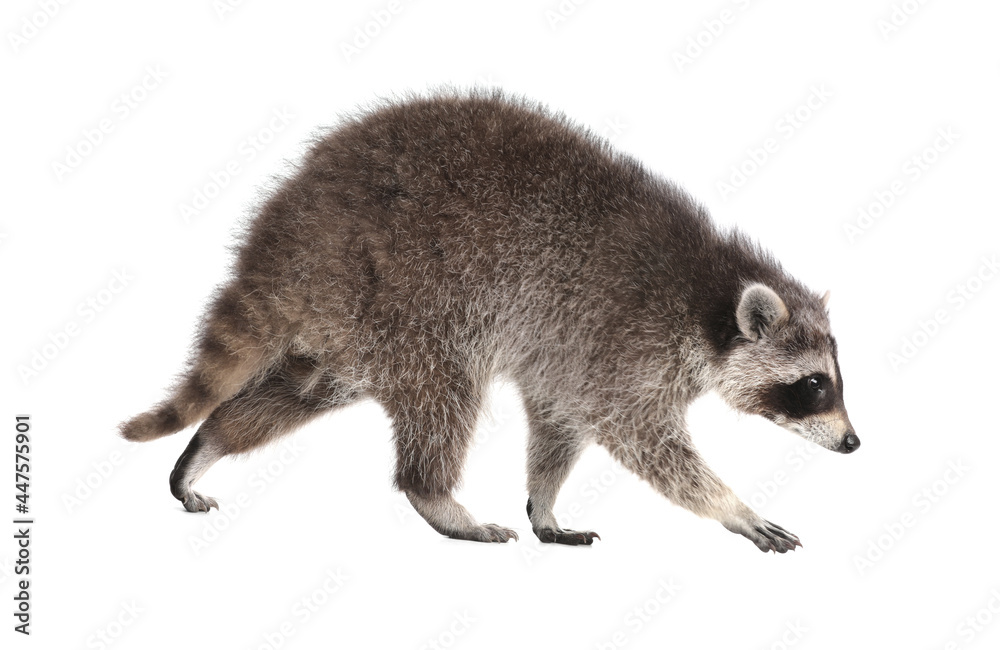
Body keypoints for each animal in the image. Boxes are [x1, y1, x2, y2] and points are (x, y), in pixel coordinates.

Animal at [120, 89, 857, 553]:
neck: (709, 295)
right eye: (814, 384)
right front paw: (733, 506)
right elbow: (643, 441)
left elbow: (559, 426)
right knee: (444, 394)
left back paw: (213, 440)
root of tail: (294, 222)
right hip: (412, 294)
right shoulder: (625, 343)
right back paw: (437, 498)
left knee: (304, 390)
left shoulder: (571, 360)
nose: (853, 444)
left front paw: (545, 502)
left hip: (353, 325)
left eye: (832, 380)